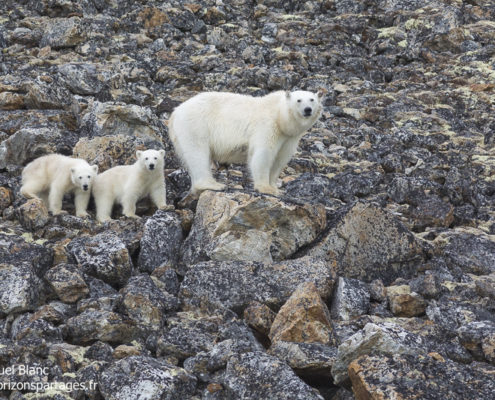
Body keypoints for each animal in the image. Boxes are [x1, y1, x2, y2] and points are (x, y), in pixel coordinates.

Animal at [170, 89, 326, 195]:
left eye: (312, 99)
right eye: (299, 100)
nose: (308, 110)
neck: (280, 116)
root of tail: (175, 112)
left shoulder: (290, 137)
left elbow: (280, 159)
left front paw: (275, 187)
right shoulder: (267, 126)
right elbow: (263, 154)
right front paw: (266, 188)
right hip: (195, 124)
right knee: (197, 152)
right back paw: (213, 184)